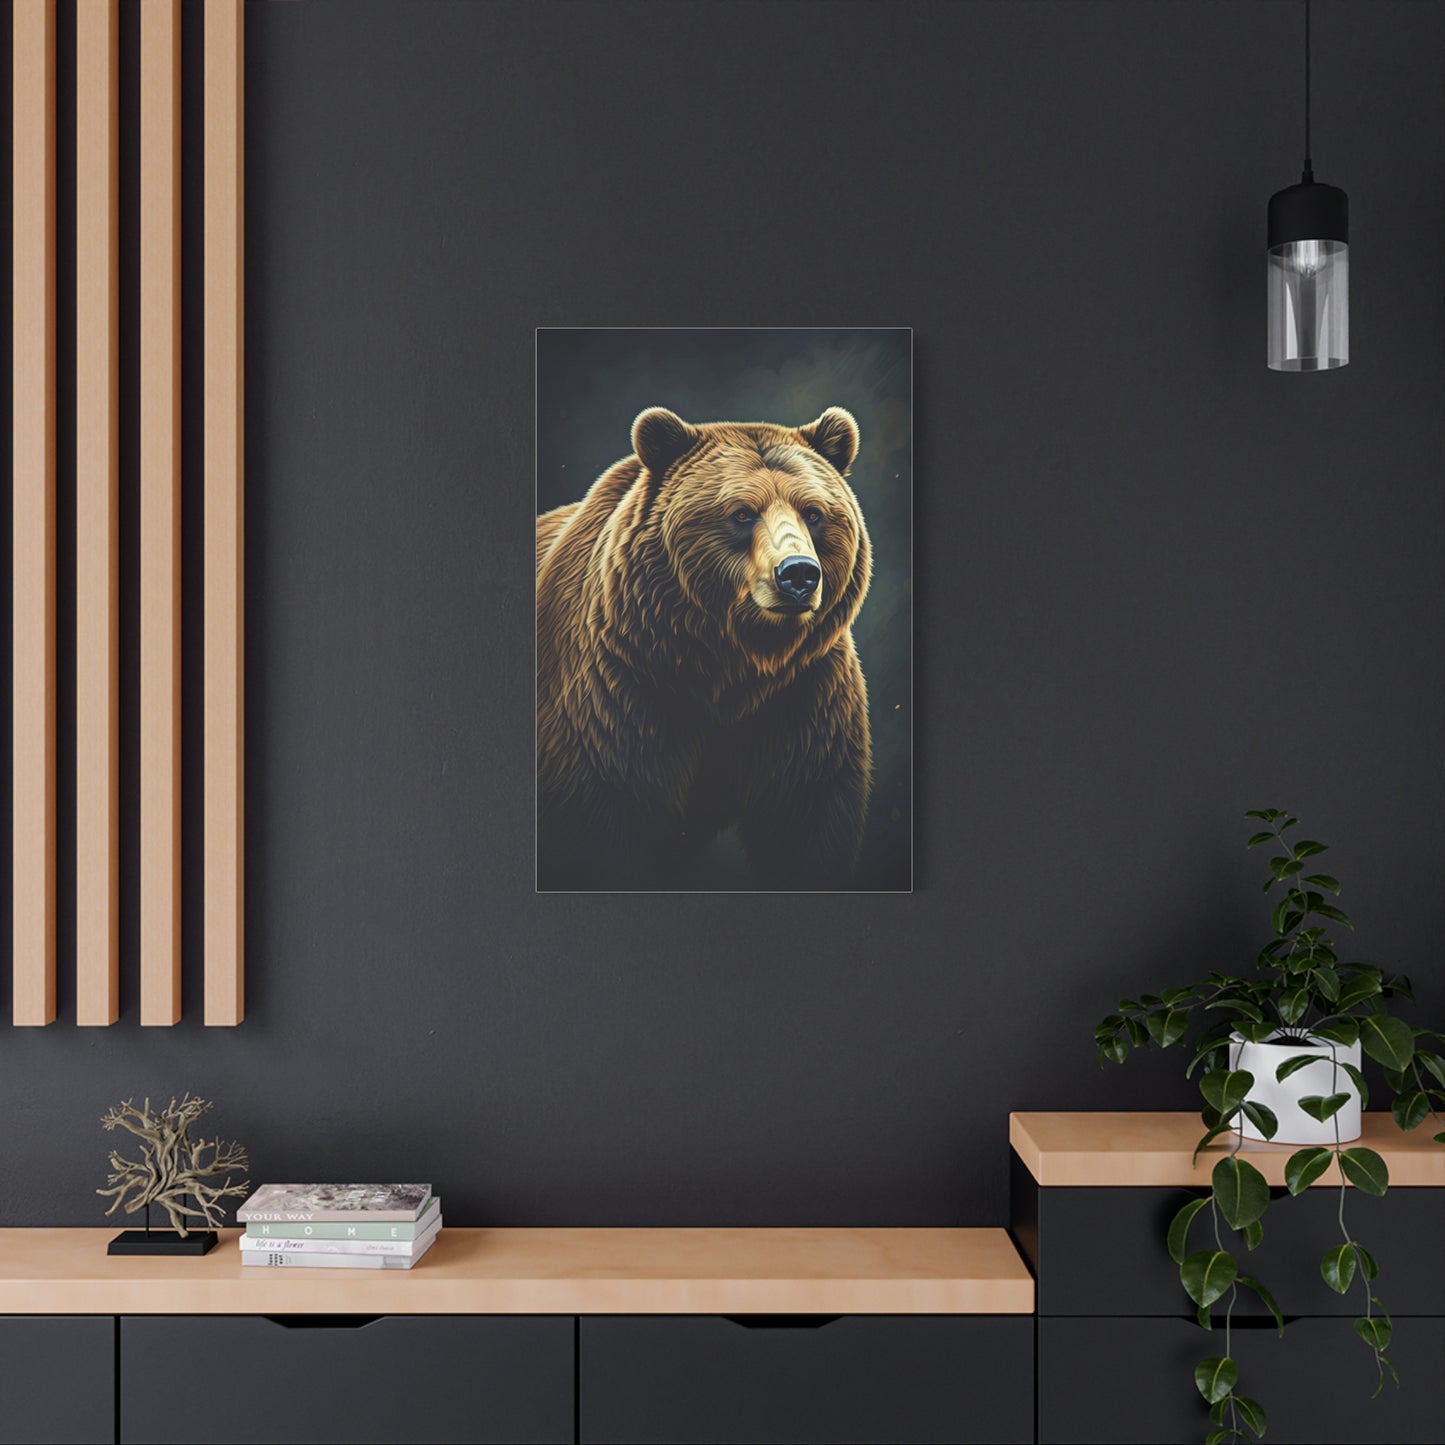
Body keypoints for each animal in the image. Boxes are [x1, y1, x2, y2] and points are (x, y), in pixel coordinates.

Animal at [537, 405, 873, 891]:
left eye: (813, 512)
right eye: (742, 513)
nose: (798, 573)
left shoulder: (805, 697)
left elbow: (807, 823)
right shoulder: (617, 691)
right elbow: (599, 812)